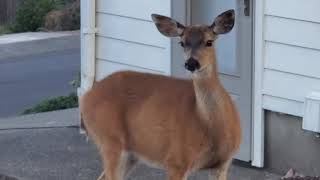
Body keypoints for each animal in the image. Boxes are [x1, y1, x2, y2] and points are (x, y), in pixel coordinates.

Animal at [80, 9, 240, 180]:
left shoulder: (223, 163)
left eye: (209, 42)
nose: (191, 63)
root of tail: (86, 97)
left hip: (130, 153)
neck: (211, 128)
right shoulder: (176, 160)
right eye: (182, 42)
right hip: (109, 139)